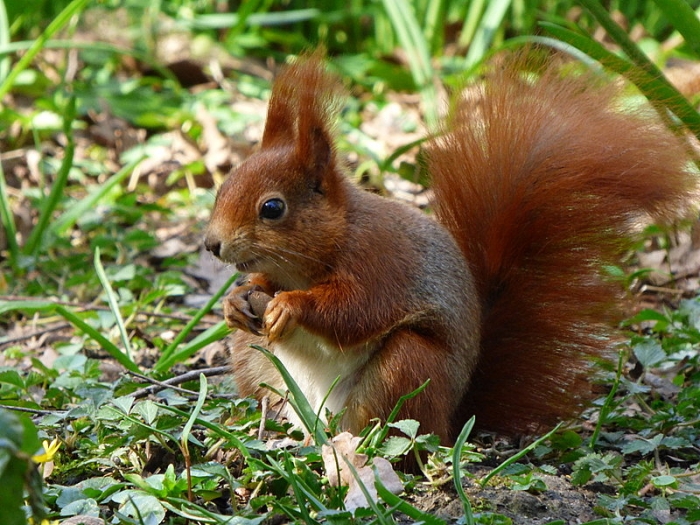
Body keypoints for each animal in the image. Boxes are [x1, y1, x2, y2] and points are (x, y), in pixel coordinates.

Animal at [204, 51, 696, 443]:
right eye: (223, 186)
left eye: (272, 208)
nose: (211, 244)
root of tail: (455, 418)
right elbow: (263, 285)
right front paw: (236, 300)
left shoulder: (380, 261)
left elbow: (354, 309)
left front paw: (290, 306)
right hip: (255, 359)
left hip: (408, 369)